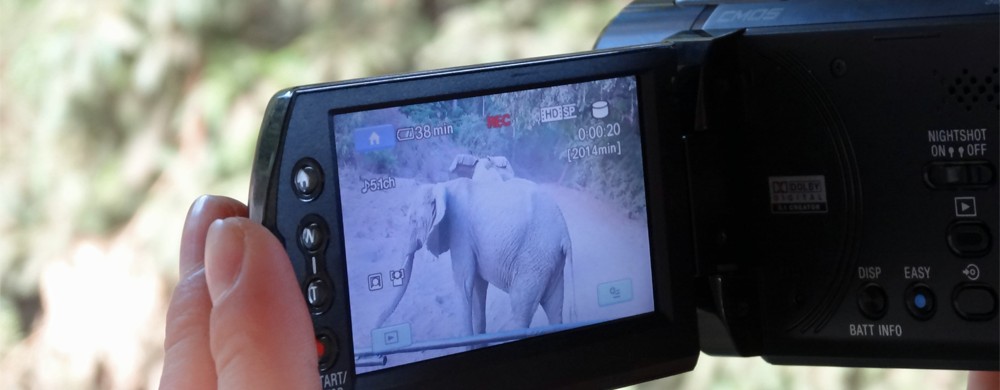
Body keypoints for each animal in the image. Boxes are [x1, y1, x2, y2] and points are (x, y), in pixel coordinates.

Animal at [376, 177, 576, 342]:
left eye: (413, 221)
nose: (380, 356)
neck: (442, 186)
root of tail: (565, 234)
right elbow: (479, 287)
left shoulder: (460, 232)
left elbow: (464, 284)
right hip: (550, 263)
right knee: (554, 308)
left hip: (533, 262)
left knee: (521, 311)